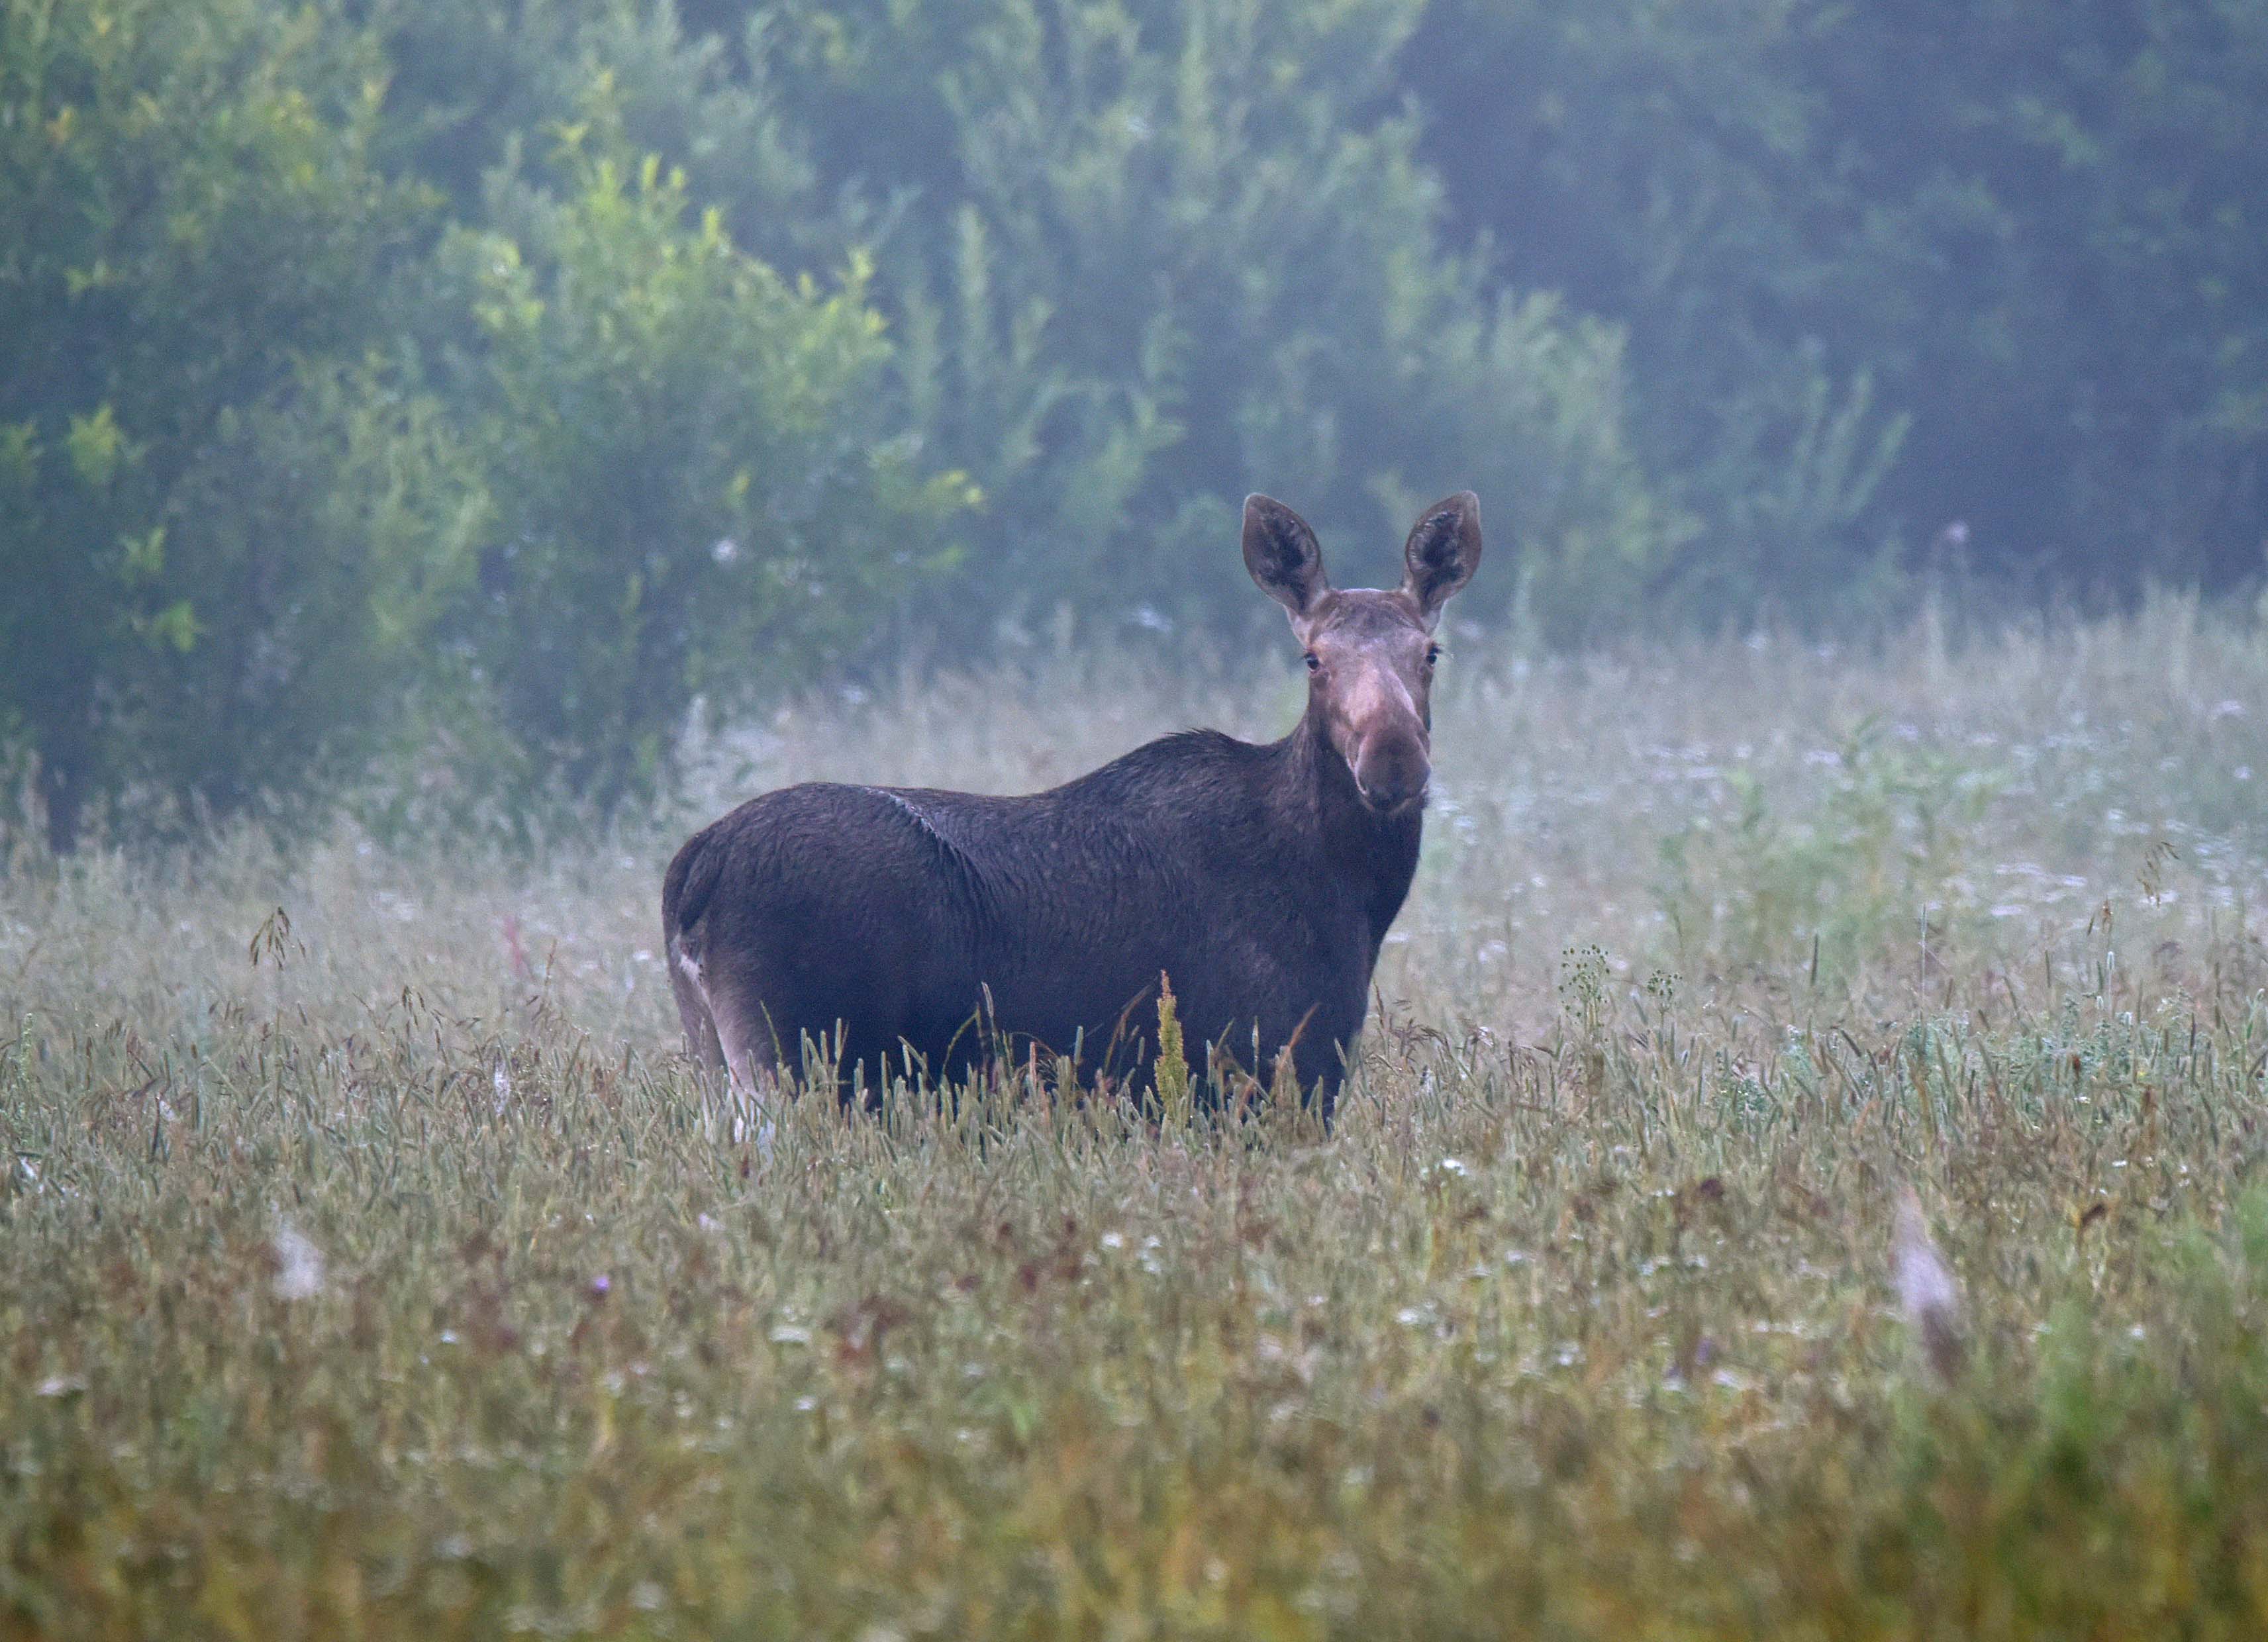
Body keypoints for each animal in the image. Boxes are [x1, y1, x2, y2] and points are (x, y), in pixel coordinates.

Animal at [658, 487, 1479, 1116]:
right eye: (1313, 658)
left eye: (1429, 653)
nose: (1392, 756)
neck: (1352, 897)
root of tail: (692, 871)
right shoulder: (1269, 1073)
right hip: (793, 1063)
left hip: (719, 1060)